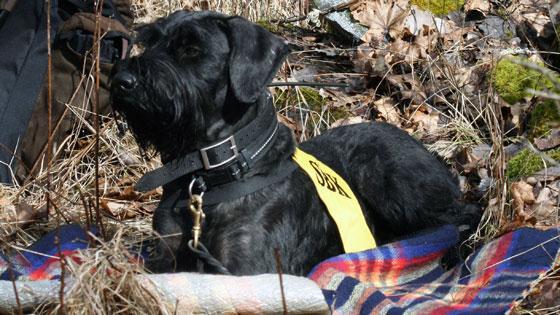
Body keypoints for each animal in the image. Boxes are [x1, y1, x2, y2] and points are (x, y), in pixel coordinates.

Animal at [110, 10, 482, 276]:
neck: (209, 177)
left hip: (393, 182)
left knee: (462, 214)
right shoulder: (165, 256)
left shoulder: (246, 267)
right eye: (149, 42)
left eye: (191, 49)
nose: (121, 80)